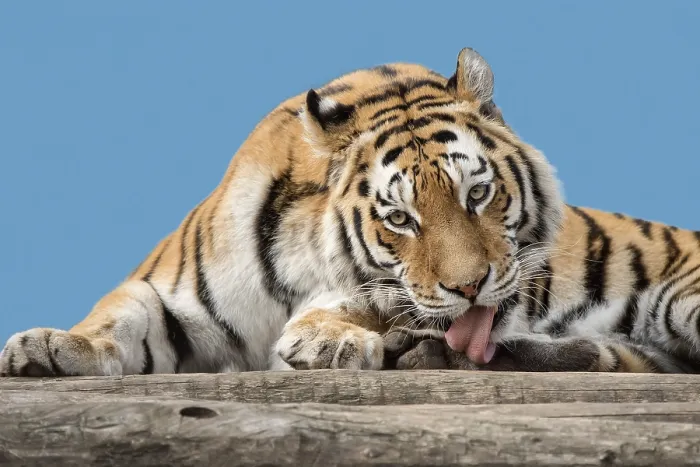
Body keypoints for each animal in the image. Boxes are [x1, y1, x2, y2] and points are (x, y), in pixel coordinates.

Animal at [1, 47, 699, 378]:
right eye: (400, 218)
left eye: (476, 195)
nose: (471, 286)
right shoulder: (171, 293)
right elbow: (118, 318)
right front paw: (49, 346)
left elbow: (356, 304)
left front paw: (326, 340)